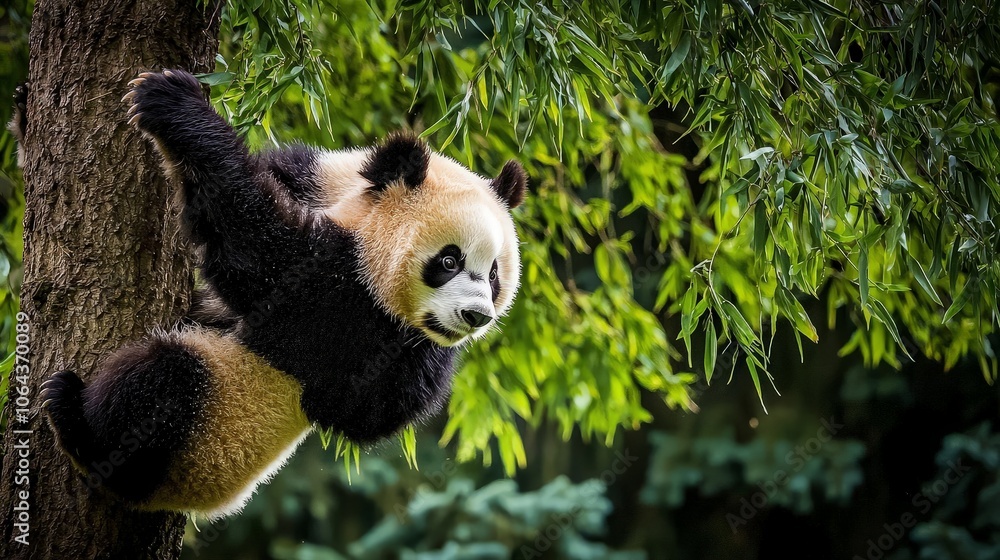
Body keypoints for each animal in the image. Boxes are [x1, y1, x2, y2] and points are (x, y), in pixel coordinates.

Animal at [41, 69, 527, 519]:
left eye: (493, 275)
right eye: (449, 262)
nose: (476, 316)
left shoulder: (343, 306)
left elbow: (258, 250)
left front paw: (172, 102)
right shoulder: (320, 176)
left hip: (199, 436)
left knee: (163, 386)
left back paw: (75, 424)